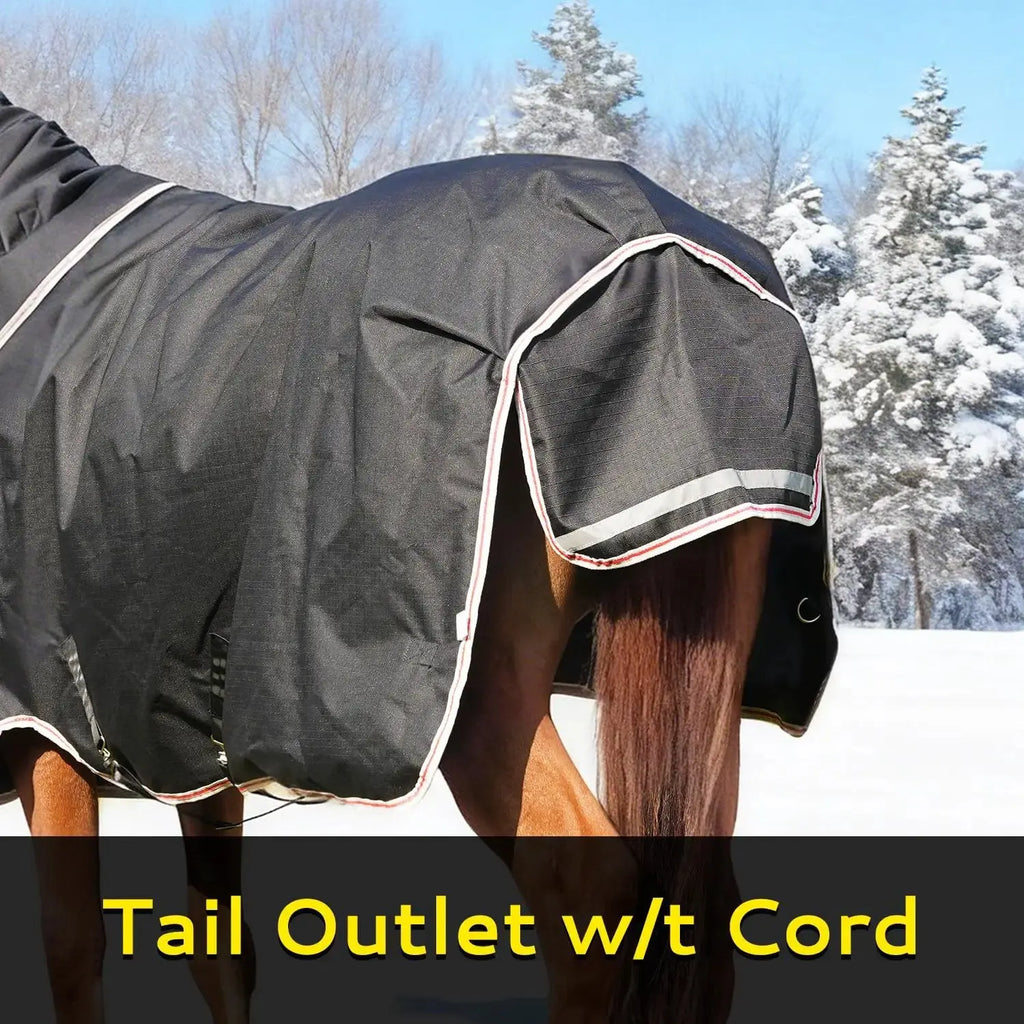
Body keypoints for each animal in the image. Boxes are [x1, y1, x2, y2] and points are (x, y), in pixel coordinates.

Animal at [0, 90, 835, 1022]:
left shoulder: (43, 726)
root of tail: (667, 259)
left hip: (487, 702)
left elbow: (73, 951)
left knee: (590, 893)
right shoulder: (186, 753)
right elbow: (218, 954)